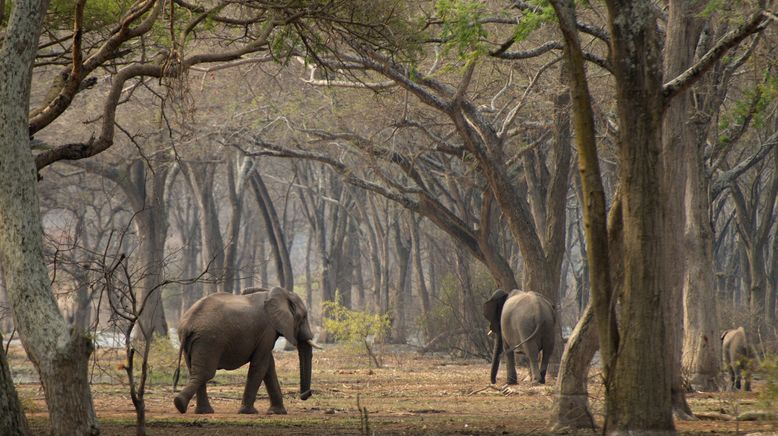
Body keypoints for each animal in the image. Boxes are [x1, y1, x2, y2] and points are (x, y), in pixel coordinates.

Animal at [174, 288, 320, 414]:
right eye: (304, 317)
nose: (306, 394)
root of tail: (187, 325)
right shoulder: (267, 330)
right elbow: (260, 366)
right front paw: (248, 412)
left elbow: (268, 367)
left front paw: (277, 413)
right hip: (209, 340)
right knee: (205, 373)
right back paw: (181, 404)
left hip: (194, 341)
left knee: (195, 372)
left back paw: (198, 410)